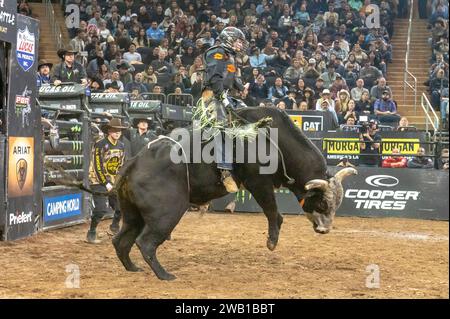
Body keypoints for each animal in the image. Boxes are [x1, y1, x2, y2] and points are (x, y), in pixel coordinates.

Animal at [111, 107, 356, 280]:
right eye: (323, 204)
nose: (325, 229)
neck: (274, 139)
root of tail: (133, 163)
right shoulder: (258, 182)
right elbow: (272, 210)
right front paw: (272, 241)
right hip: (166, 213)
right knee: (146, 243)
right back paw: (164, 275)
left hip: (134, 215)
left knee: (121, 240)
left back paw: (133, 268)